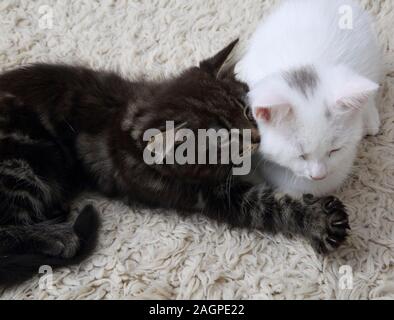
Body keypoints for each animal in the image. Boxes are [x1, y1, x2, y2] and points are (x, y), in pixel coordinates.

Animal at [0, 38, 350, 286]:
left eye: (246, 110)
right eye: (225, 137)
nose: (255, 137)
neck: (128, 116)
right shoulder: (209, 195)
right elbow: (270, 205)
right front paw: (319, 220)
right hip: (25, 161)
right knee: (5, 234)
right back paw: (61, 236)